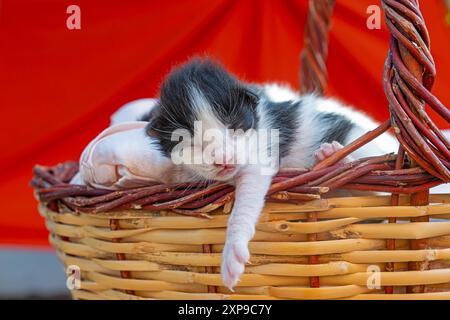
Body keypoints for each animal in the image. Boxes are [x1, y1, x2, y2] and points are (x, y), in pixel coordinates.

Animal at [146, 58, 396, 290]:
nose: (224, 160)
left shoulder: (260, 153)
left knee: (374, 184)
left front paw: (232, 254)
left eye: (234, 126)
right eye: (191, 143)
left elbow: (245, 203)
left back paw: (337, 157)